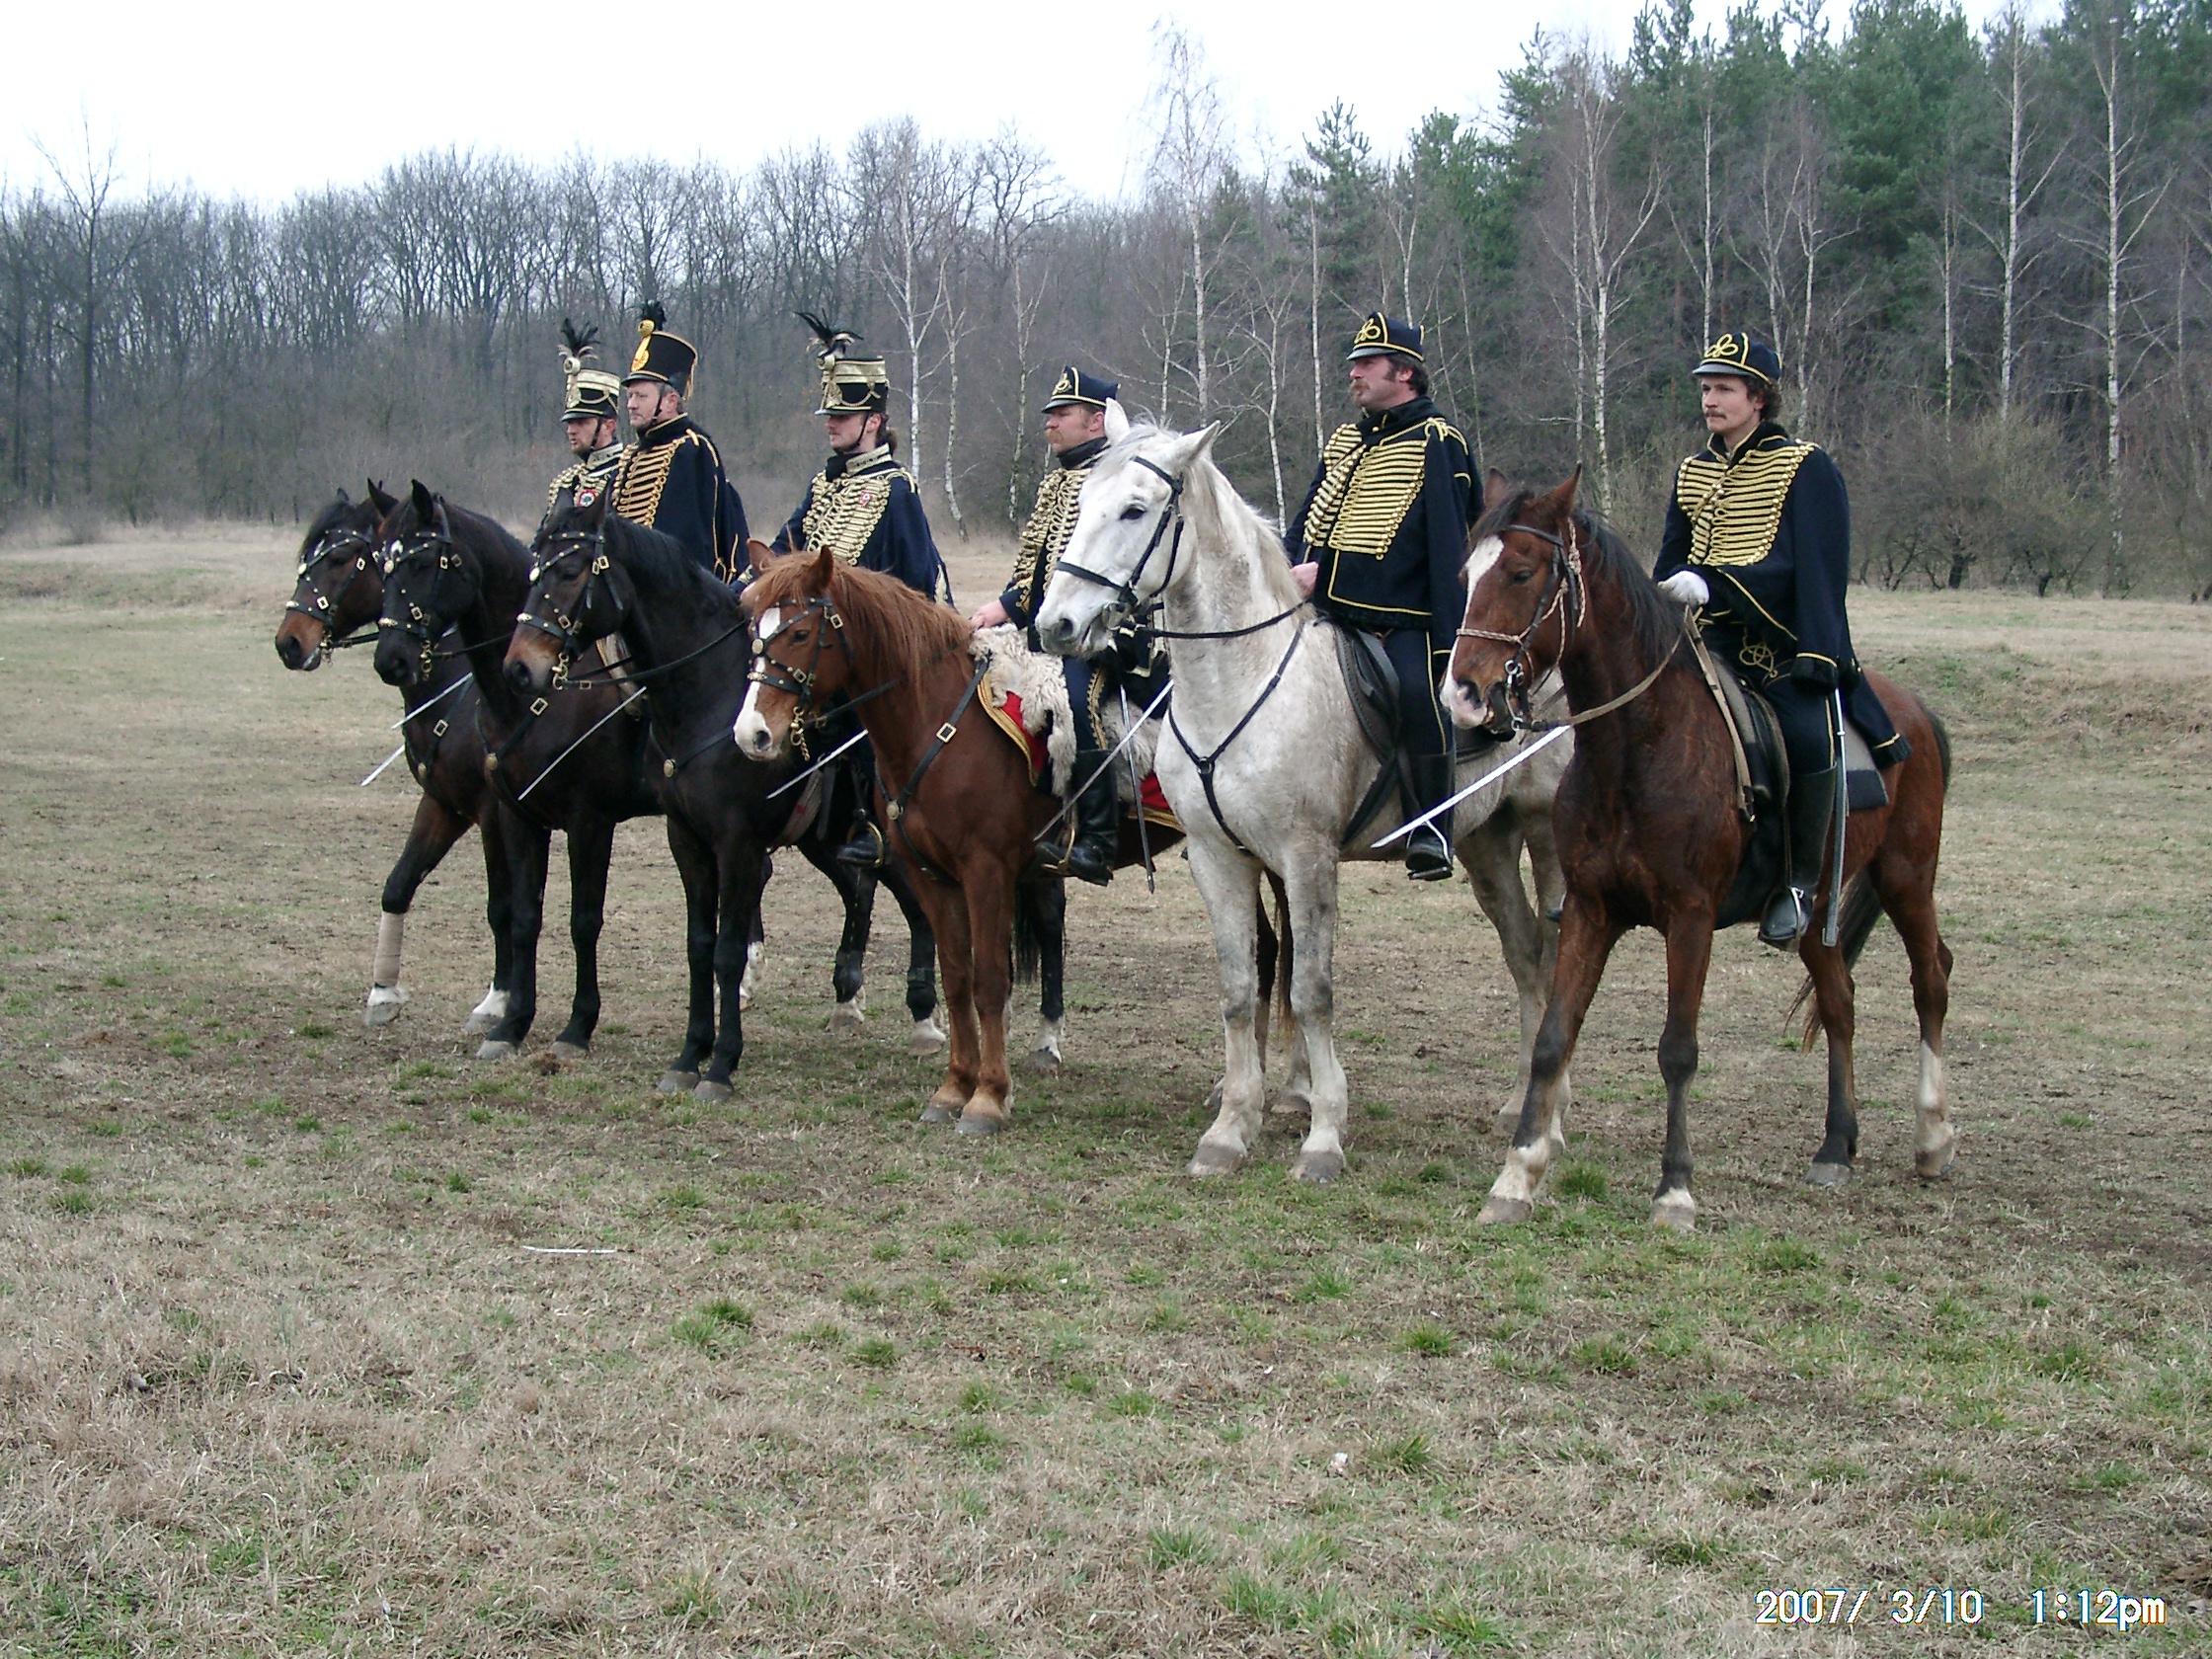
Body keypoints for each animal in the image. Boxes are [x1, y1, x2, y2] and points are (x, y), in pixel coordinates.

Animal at [272, 485, 513, 1035]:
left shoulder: (495, 813)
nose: (288, 642)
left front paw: (496, 1002)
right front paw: (383, 992)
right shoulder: (443, 805)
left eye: (341, 558)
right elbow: (398, 884)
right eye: (382, 562)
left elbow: (504, 906)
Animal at [502, 491, 948, 1100]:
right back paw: (855, 1000)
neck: (705, 700)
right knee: (866, 890)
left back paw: (925, 1018)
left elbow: (729, 950)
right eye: (533, 569)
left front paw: (720, 1065)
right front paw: (690, 1054)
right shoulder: (686, 840)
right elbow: (700, 946)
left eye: (570, 571)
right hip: (824, 840)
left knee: (912, 901)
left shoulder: (736, 844)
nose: (520, 668)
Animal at [1032, 421, 1572, 1184]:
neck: (1239, 680)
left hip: (1549, 836)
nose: (1055, 625)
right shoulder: (1219, 858)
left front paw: (1323, 1135)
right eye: (1080, 504)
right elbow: (1241, 987)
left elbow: (1310, 988)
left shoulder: (1307, 856)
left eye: (1136, 510)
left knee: (1554, 958)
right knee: (1524, 953)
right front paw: (1231, 1128)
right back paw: (1519, 1106)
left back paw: (1550, 1122)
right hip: (1486, 843)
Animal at [1443, 472, 1956, 1232]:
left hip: (1906, 877)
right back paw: (1836, 1145)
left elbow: (1678, 1051)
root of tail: (1913, 708)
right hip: (1816, 909)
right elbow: (1553, 1038)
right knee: (1839, 1000)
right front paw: (1518, 1176)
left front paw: (1675, 1190)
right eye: (1465, 575)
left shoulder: (1689, 919)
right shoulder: (1590, 910)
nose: (1463, 695)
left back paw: (1932, 1137)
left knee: (1931, 980)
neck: (1638, 746)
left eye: (1522, 573)